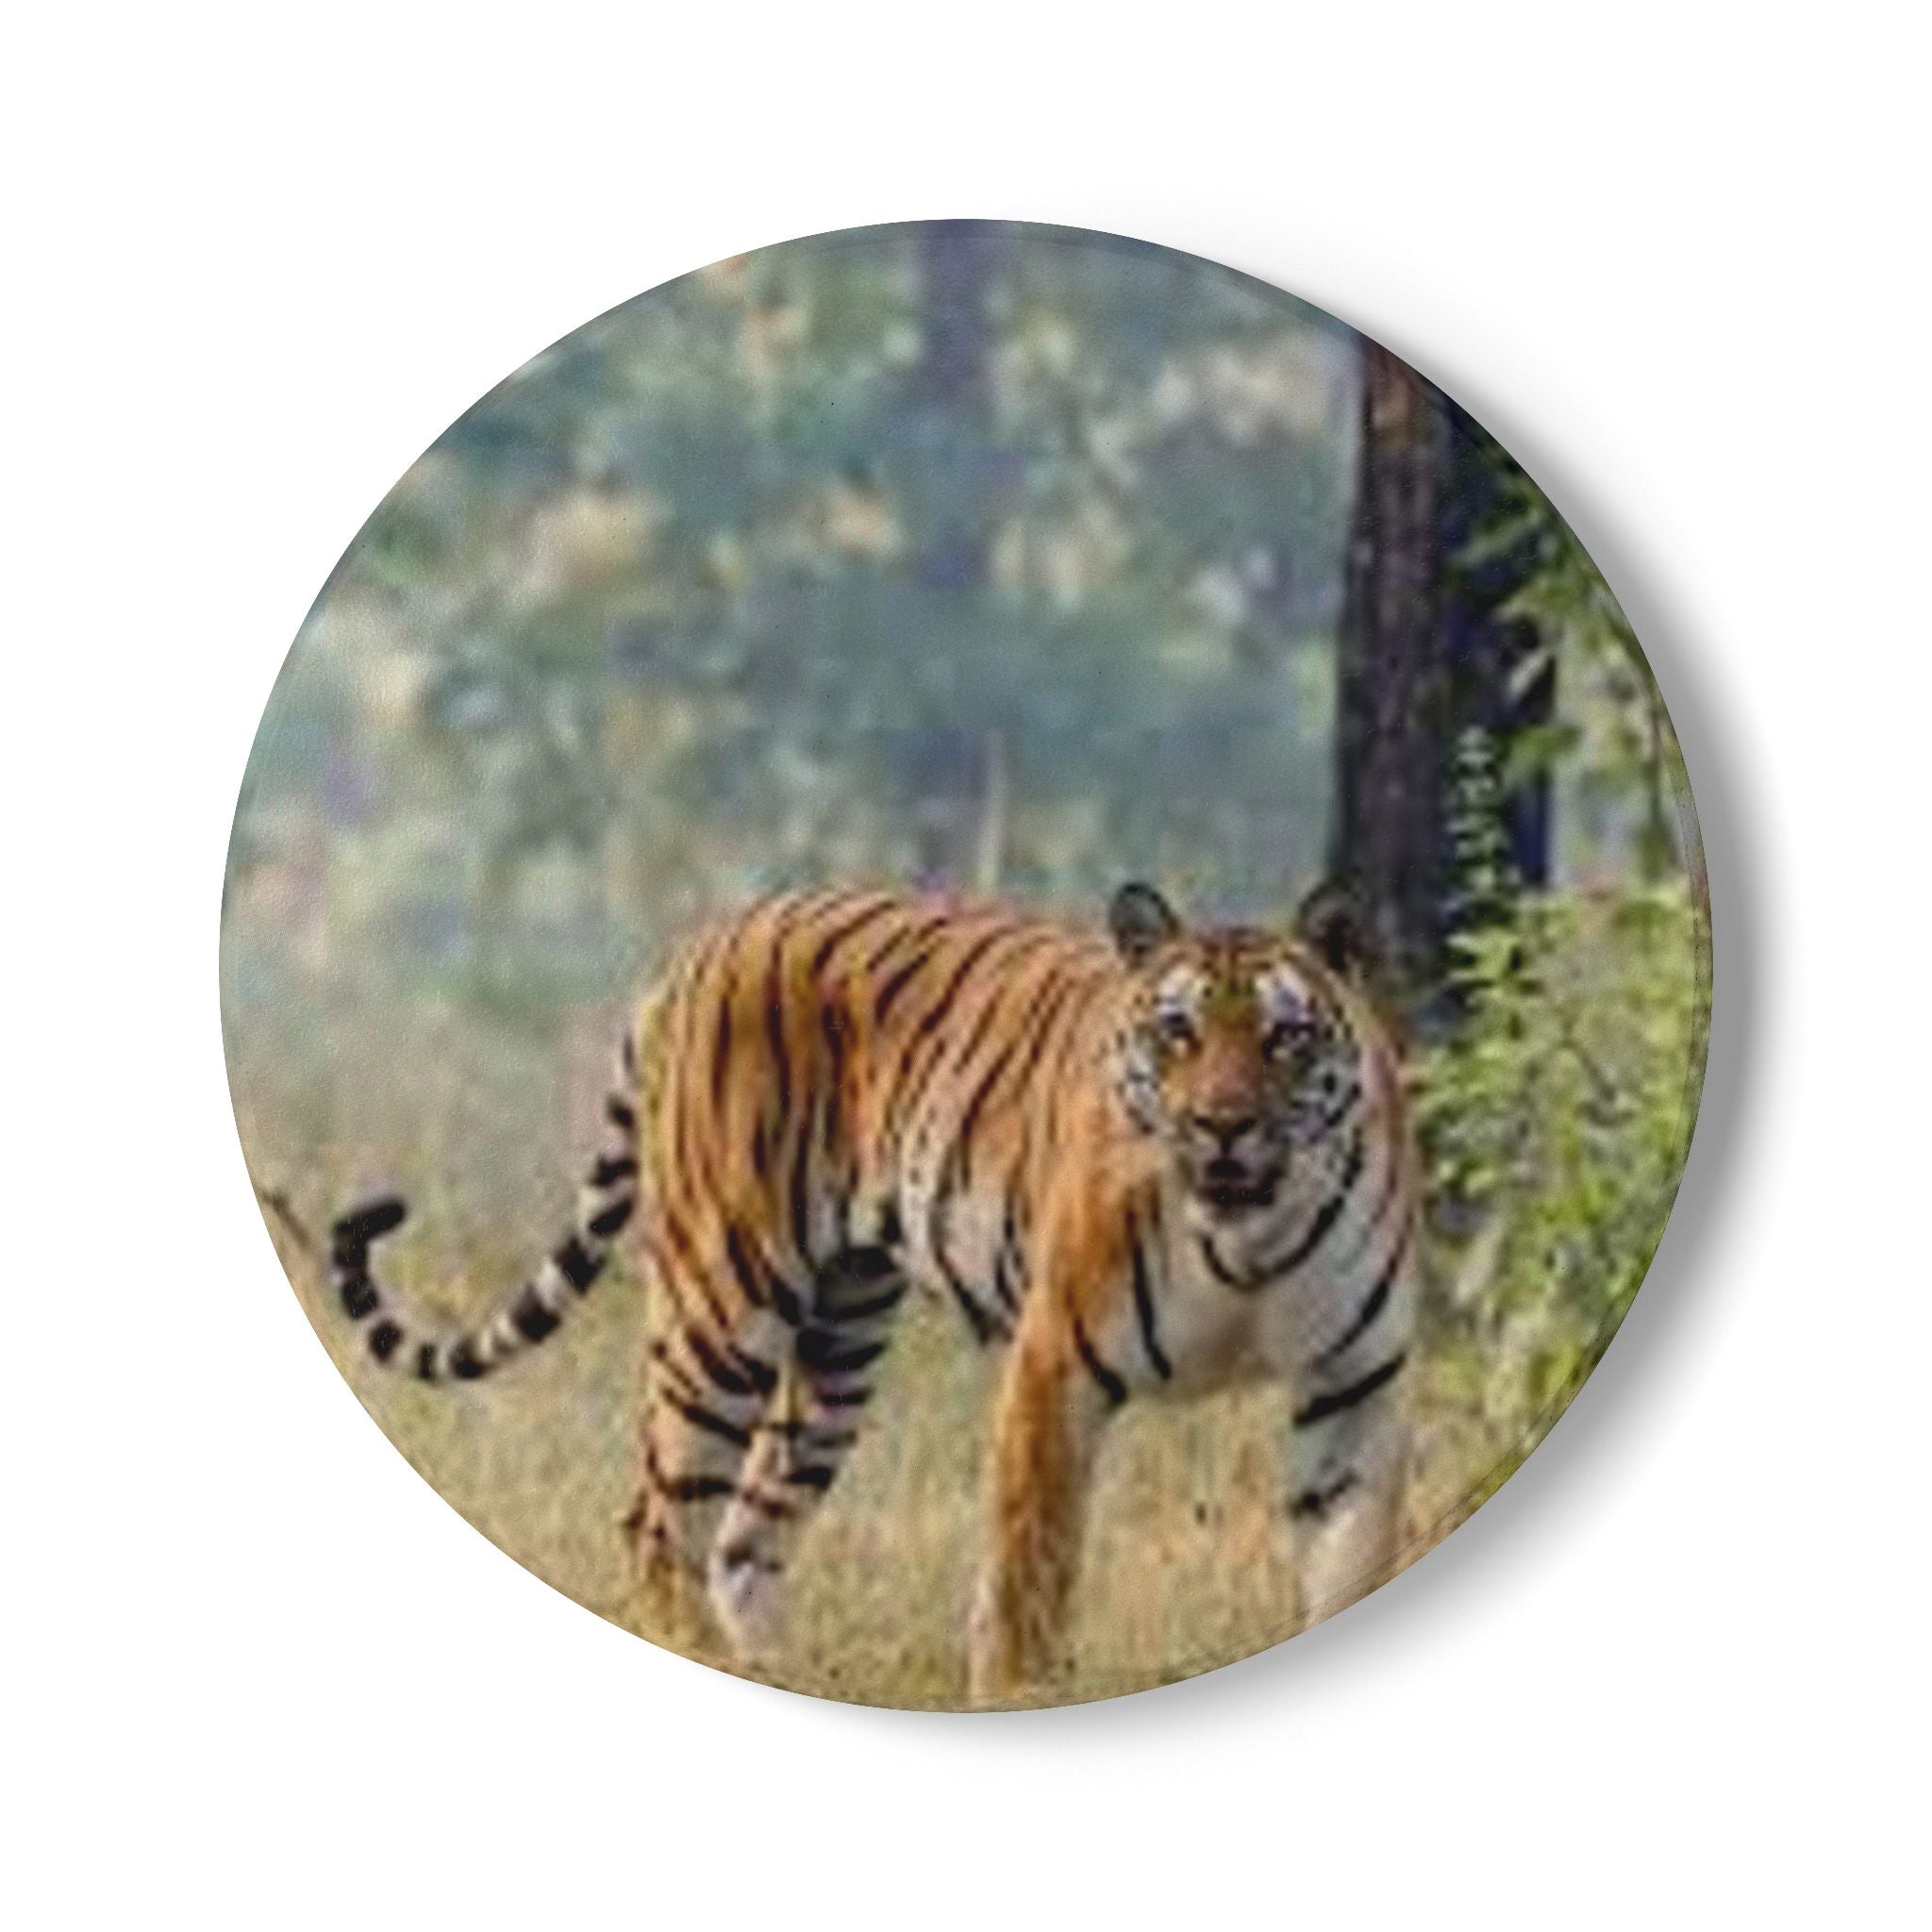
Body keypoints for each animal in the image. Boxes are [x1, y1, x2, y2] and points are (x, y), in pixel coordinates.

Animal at [325, 880, 1420, 1703]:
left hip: (840, 1339)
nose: (1222, 1125)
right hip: (723, 1302)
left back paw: (777, 1671)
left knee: (744, 1535)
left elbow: (1350, 1563)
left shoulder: (1353, 1385)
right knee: (661, 1522)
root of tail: (706, 938)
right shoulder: (1057, 1363)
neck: (1246, 1237)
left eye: (1283, 1038)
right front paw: (1019, 1696)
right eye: (1177, 1032)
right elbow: (1029, 1571)